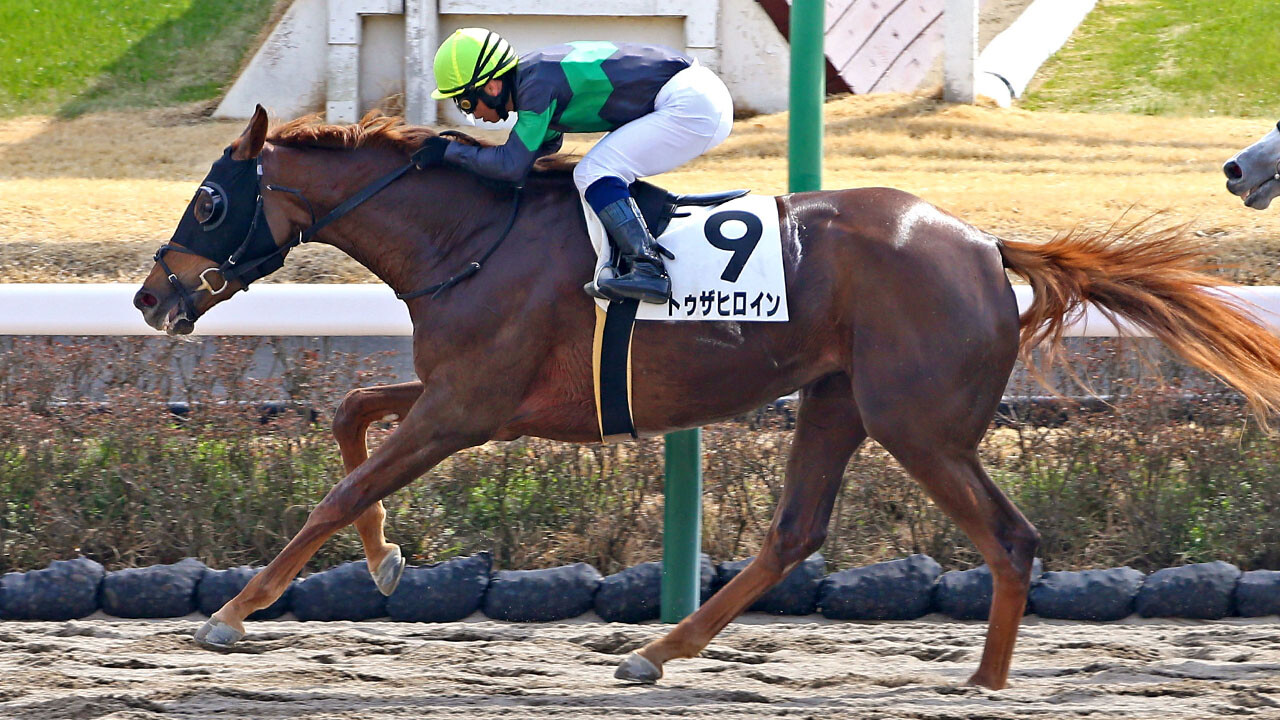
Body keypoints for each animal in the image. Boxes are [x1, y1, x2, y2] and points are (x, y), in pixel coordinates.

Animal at [132, 107, 1280, 691]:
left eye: (210, 200)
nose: (150, 296)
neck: (471, 234)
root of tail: (982, 244)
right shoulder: (473, 394)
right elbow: (349, 416)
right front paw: (386, 562)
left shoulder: (467, 406)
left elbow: (338, 488)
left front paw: (232, 613)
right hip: (835, 400)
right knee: (793, 534)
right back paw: (655, 652)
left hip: (916, 423)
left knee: (1011, 538)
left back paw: (983, 685)